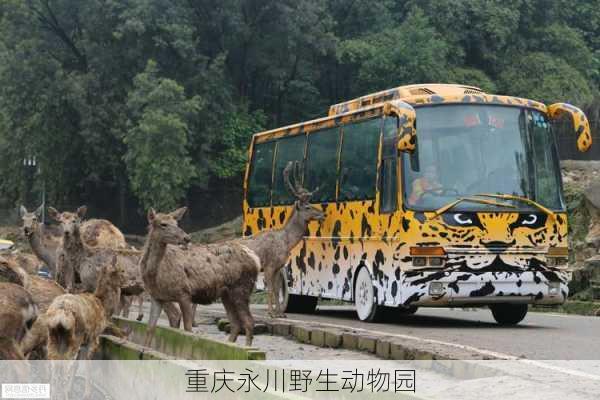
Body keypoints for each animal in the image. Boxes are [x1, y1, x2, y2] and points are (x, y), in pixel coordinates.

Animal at [141, 206, 262, 346]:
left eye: (176, 223)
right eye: (163, 224)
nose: (186, 238)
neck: (154, 275)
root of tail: (255, 258)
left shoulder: (184, 293)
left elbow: (187, 329)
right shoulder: (157, 297)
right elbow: (150, 329)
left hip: (241, 288)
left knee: (249, 322)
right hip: (226, 294)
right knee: (236, 323)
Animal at [241, 161, 324, 318]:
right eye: (307, 207)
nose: (323, 214)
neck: (286, 242)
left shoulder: (279, 266)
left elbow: (276, 288)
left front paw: (280, 313)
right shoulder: (269, 265)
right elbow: (270, 289)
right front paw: (271, 313)